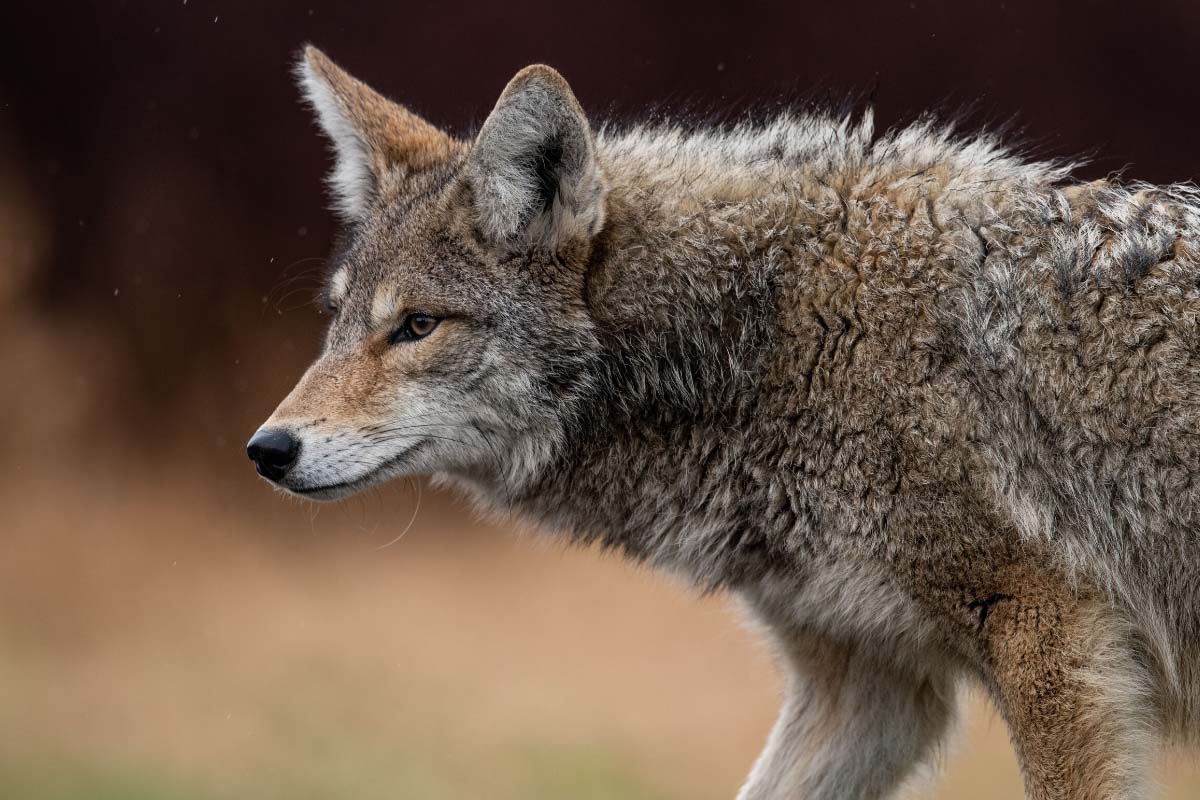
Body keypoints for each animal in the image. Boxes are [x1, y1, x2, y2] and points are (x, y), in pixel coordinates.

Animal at [248, 45, 1200, 799]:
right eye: (336, 320)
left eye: (416, 326)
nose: (267, 449)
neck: (768, 335)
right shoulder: (867, 690)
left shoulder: (1050, 635)